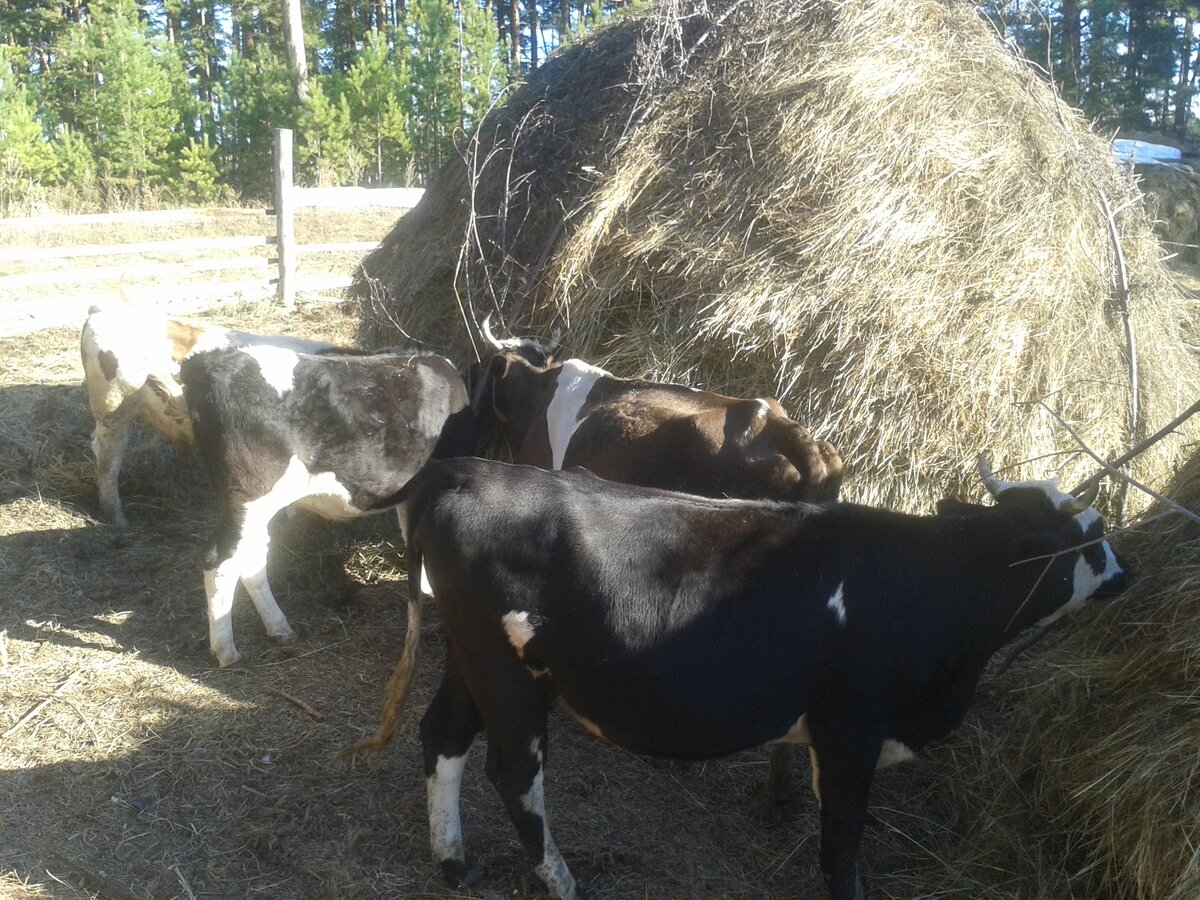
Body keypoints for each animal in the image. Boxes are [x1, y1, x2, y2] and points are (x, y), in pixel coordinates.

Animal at [177, 345, 472, 672]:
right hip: (249, 495)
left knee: (252, 557)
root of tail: (209, 362)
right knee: (222, 561)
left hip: (256, 507)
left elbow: (412, 534)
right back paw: (226, 649)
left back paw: (280, 628)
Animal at [348, 458, 1123, 900]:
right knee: (514, 777)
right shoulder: (852, 727)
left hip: (471, 659)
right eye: (1088, 538)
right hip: (507, 675)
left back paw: (452, 862)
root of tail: (465, 469)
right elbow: (842, 840)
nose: (1126, 571)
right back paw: (564, 884)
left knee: (443, 736)